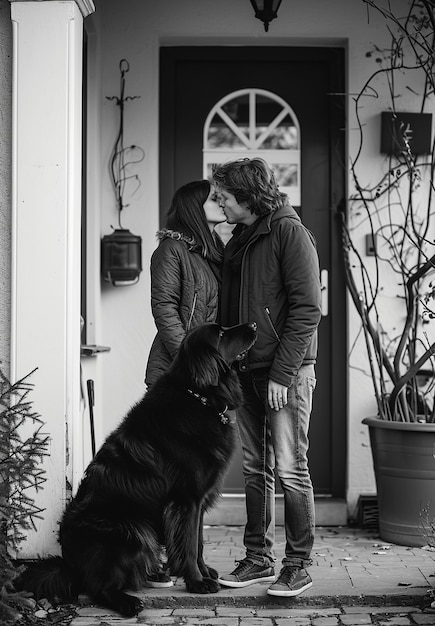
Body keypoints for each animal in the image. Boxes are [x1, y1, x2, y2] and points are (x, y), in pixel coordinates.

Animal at [17, 322, 258, 616]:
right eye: (222, 334)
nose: (254, 325)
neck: (198, 396)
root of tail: (69, 563)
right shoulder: (186, 500)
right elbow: (189, 546)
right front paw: (197, 582)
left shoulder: (198, 502)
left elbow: (198, 542)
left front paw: (204, 573)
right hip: (133, 531)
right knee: (99, 586)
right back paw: (129, 602)